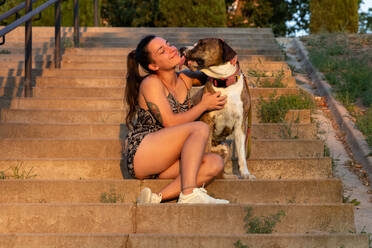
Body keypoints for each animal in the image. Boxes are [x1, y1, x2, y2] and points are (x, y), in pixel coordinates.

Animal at [180, 37, 256, 179]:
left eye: (201, 44)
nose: (181, 49)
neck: (223, 83)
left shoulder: (240, 125)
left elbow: (242, 154)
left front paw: (245, 174)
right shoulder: (208, 121)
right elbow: (206, 148)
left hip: (225, 147)